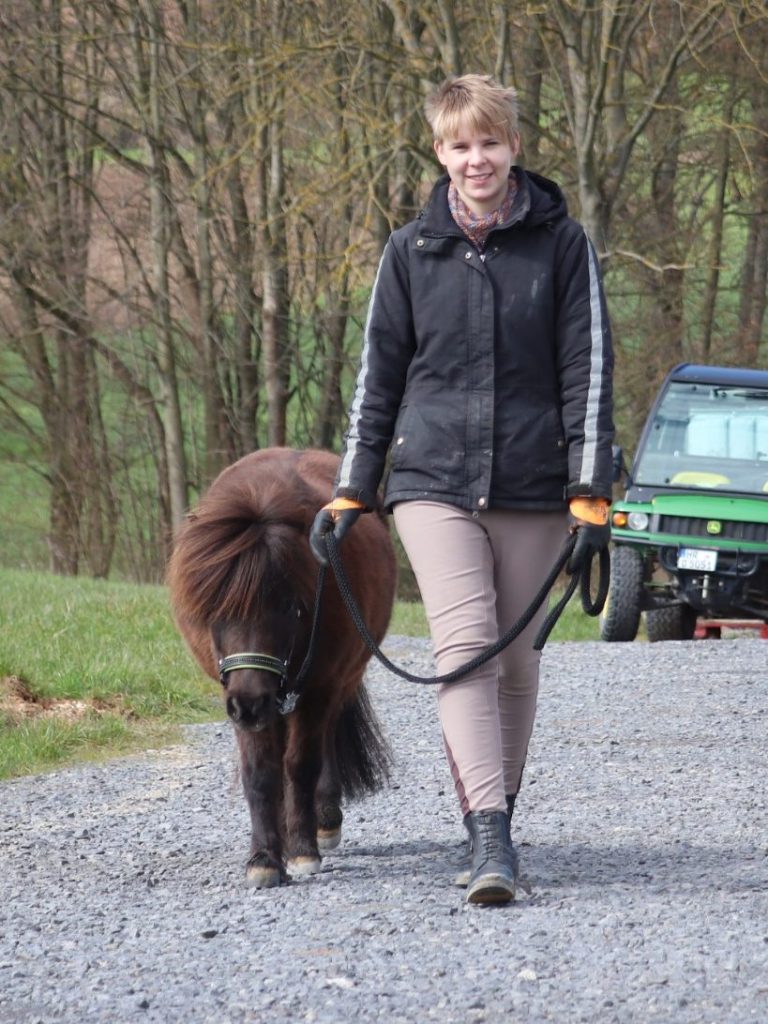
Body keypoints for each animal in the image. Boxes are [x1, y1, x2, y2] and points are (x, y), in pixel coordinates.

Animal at [167, 448, 397, 888]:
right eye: (214, 611)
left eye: (290, 606)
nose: (250, 704)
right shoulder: (240, 697)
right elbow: (260, 772)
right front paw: (264, 858)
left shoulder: (318, 687)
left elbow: (300, 764)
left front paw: (303, 850)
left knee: (324, 741)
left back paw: (323, 822)